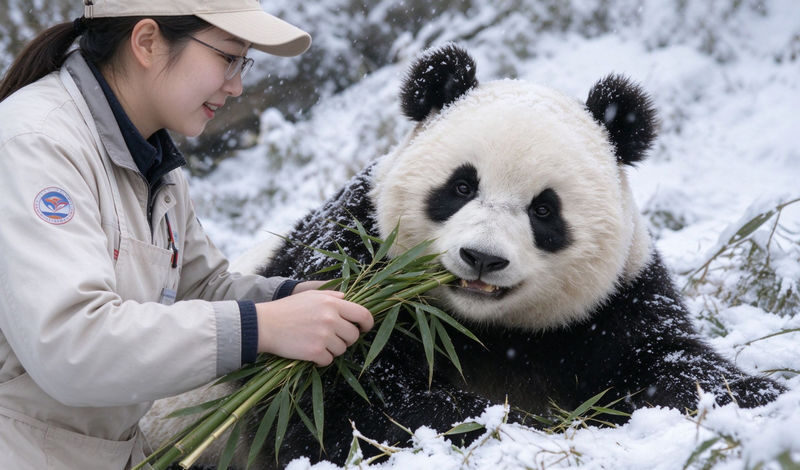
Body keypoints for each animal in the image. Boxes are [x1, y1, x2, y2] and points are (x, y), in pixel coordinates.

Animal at [144, 44, 784, 469]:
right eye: (460, 186)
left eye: (544, 211)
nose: (482, 258)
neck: (482, 330)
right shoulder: (352, 255)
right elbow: (342, 401)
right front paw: (506, 421)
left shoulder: (614, 302)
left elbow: (673, 364)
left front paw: (761, 399)